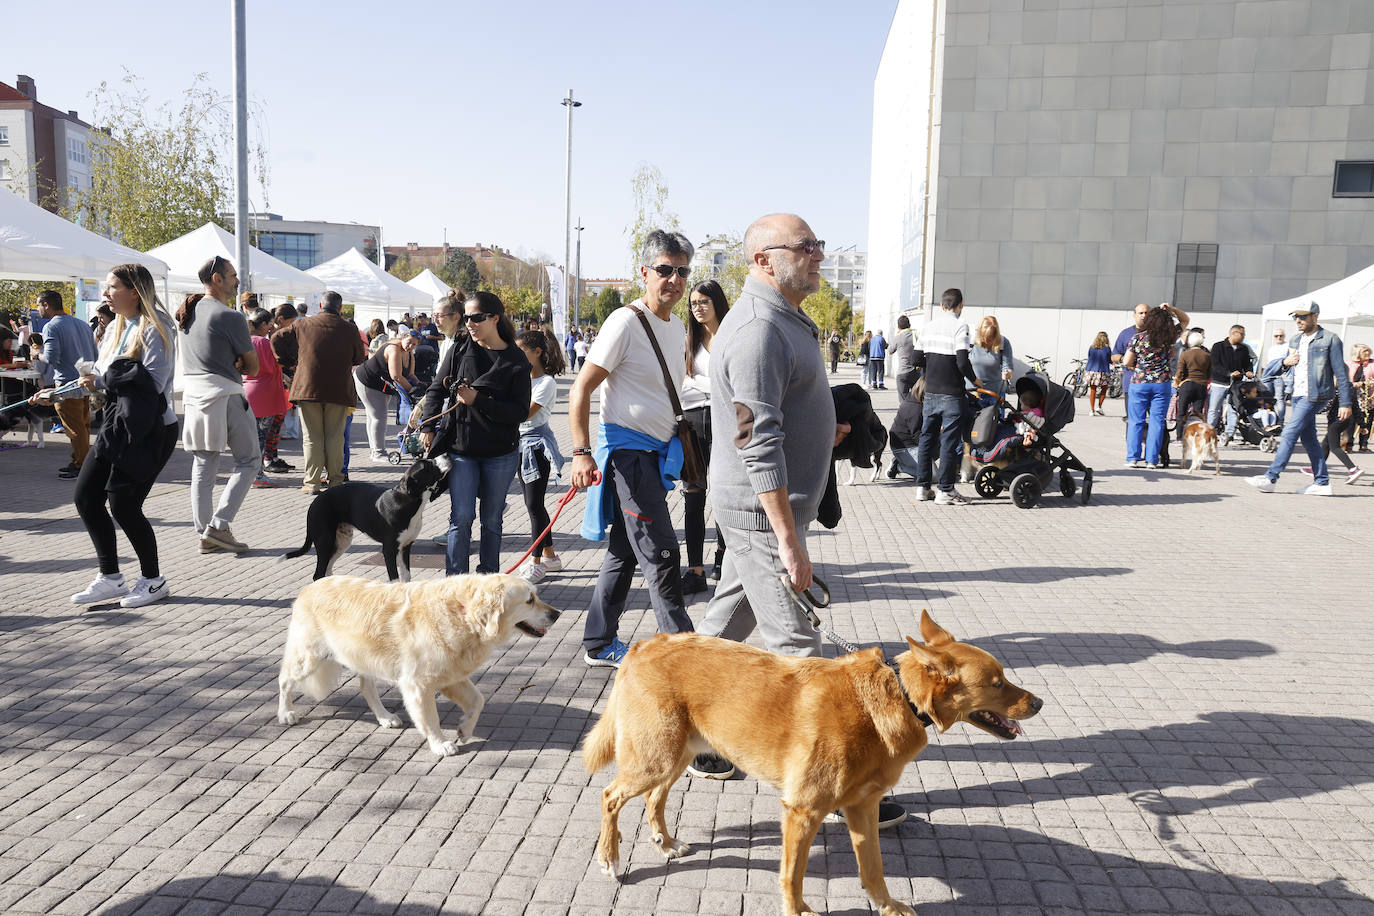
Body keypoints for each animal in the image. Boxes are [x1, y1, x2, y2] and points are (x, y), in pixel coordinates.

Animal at [276, 574, 560, 758]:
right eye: (530, 599)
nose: (556, 614)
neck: (463, 613)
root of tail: (309, 587)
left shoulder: (451, 674)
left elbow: (478, 700)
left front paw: (465, 729)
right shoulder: (418, 683)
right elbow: (430, 718)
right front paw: (440, 744)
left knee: (367, 688)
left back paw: (385, 717)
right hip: (308, 657)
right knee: (284, 680)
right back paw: (285, 713)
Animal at [278, 455, 450, 585]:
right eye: (427, 465)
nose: (448, 454)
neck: (408, 502)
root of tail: (316, 501)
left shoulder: (406, 546)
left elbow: (406, 576)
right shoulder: (389, 549)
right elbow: (395, 580)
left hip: (341, 541)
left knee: (327, 569)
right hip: (324, 540)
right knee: (318, 574)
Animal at [579, 609, 1038, 916]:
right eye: (997, 683)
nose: (1039, 702)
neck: (896, 699)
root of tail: (645, 643)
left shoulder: (863, 808)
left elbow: (874, 869)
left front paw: (886, 906)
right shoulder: (802, 812)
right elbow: (793, 875)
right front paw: (797, 910)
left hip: (672, 756)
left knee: (654, 798)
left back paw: (666, 842)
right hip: (654, 758)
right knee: (609, 797)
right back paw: (610, 859)